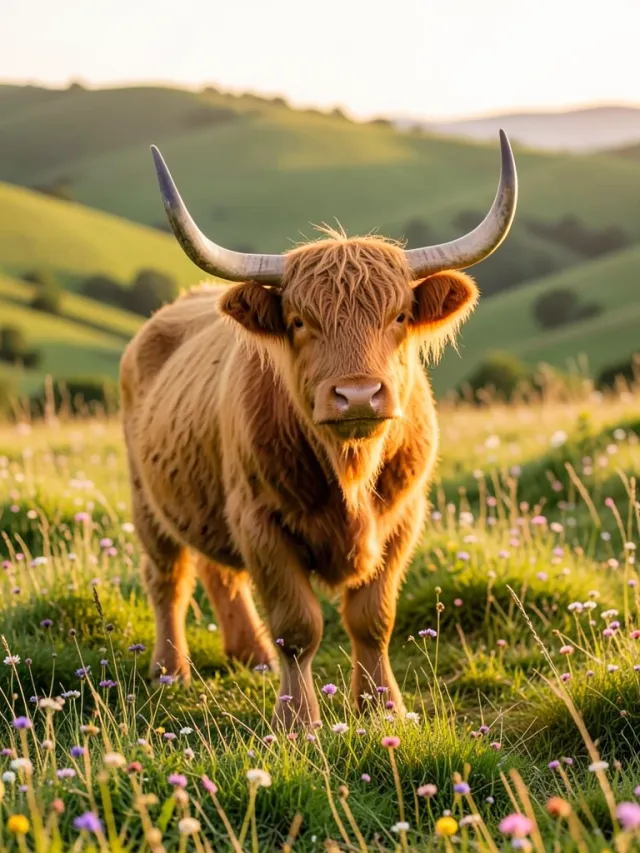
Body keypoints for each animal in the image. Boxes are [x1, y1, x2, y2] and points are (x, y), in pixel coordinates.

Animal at [120, 131, 517, 728]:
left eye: (399, 316)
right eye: (300, 321)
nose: (358, 395)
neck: (348, 469)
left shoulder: (403, 518)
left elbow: (373, 618)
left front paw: (384, 708)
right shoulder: (261, 523)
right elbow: (298, 627)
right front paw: (297, 722)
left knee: (220, 574)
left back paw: (251, 657)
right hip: (147, 499)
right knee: (168, 578)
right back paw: (171, 671)